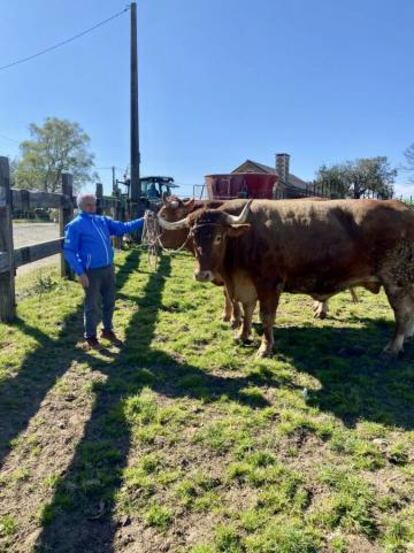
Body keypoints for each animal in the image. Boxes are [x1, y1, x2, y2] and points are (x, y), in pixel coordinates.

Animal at [158, 198, 410, 358]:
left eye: (219, 237)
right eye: (193, 236)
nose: (202, 274)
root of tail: (406, 208)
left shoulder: (268, 284)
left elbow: (266, 316)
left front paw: (265, 348)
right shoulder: (245, 284)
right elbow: (247, 309)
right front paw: (243, 334)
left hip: (397, 281)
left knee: (402, 313)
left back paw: (392, 347)